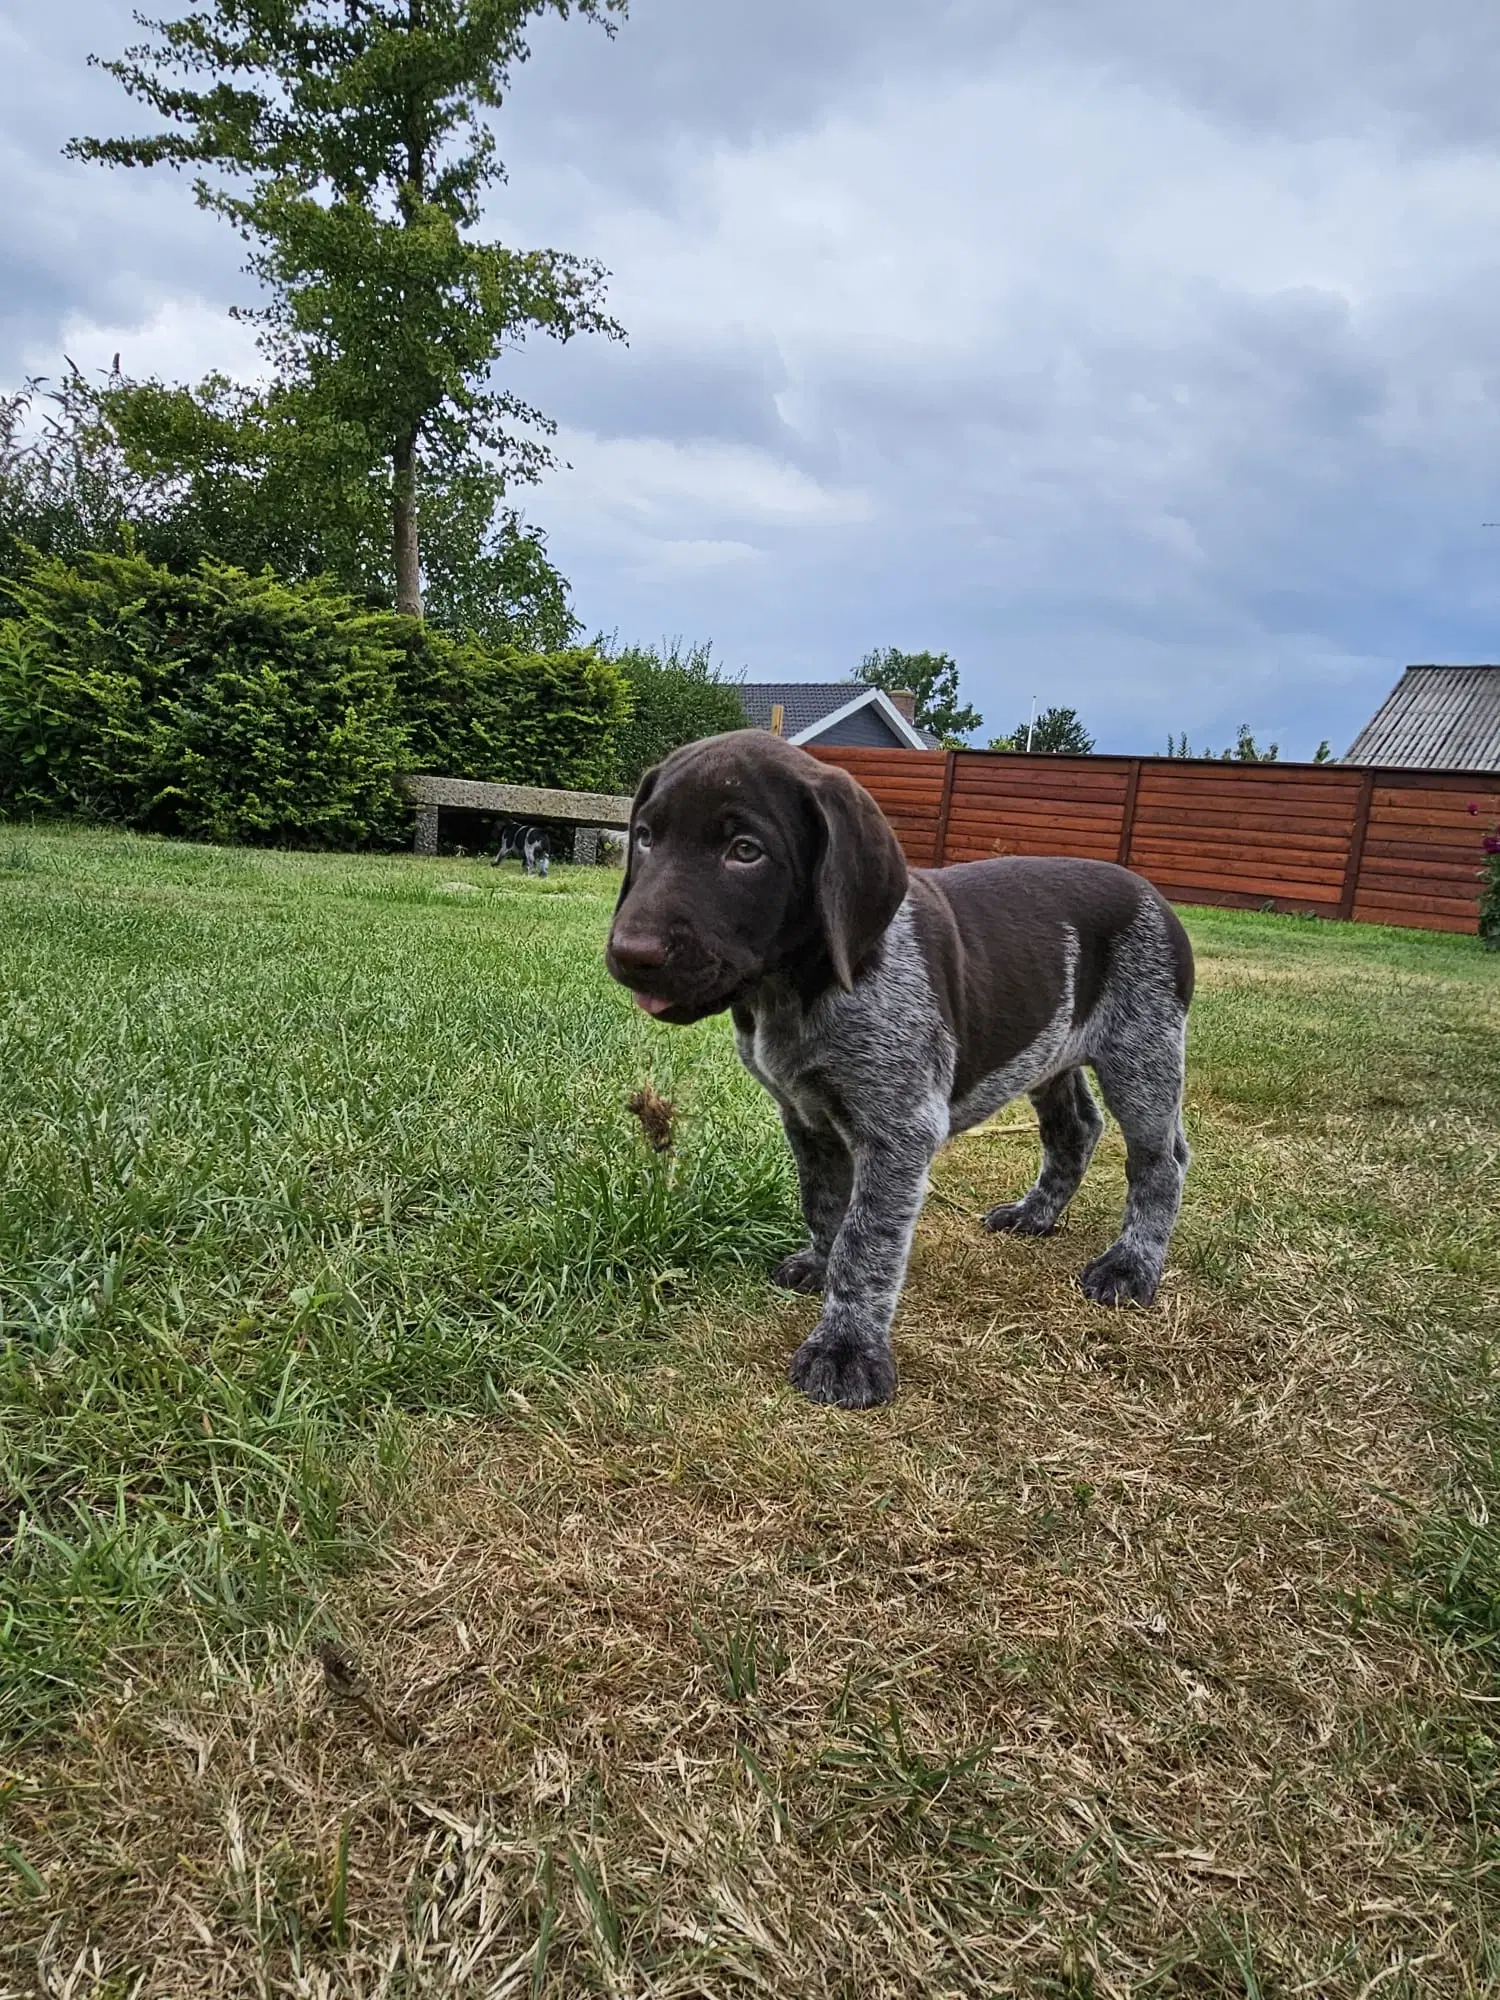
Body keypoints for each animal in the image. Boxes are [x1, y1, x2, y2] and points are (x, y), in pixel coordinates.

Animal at [604, 732, 1192, 1408]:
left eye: (745, 851)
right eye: (646, 837)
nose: (631, 953)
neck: (794, 990)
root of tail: (1153, 896)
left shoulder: (899, 1130)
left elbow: (866, 1242)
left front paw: (847, 1350)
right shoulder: (805, 1116)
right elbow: (825, 1206)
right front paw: (821, 1268)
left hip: (1142, 1055)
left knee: (1160, 1163)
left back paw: (1131, 1267)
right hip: (1052, 1049)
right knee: (1075, 1130)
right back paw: (1035, 1214)